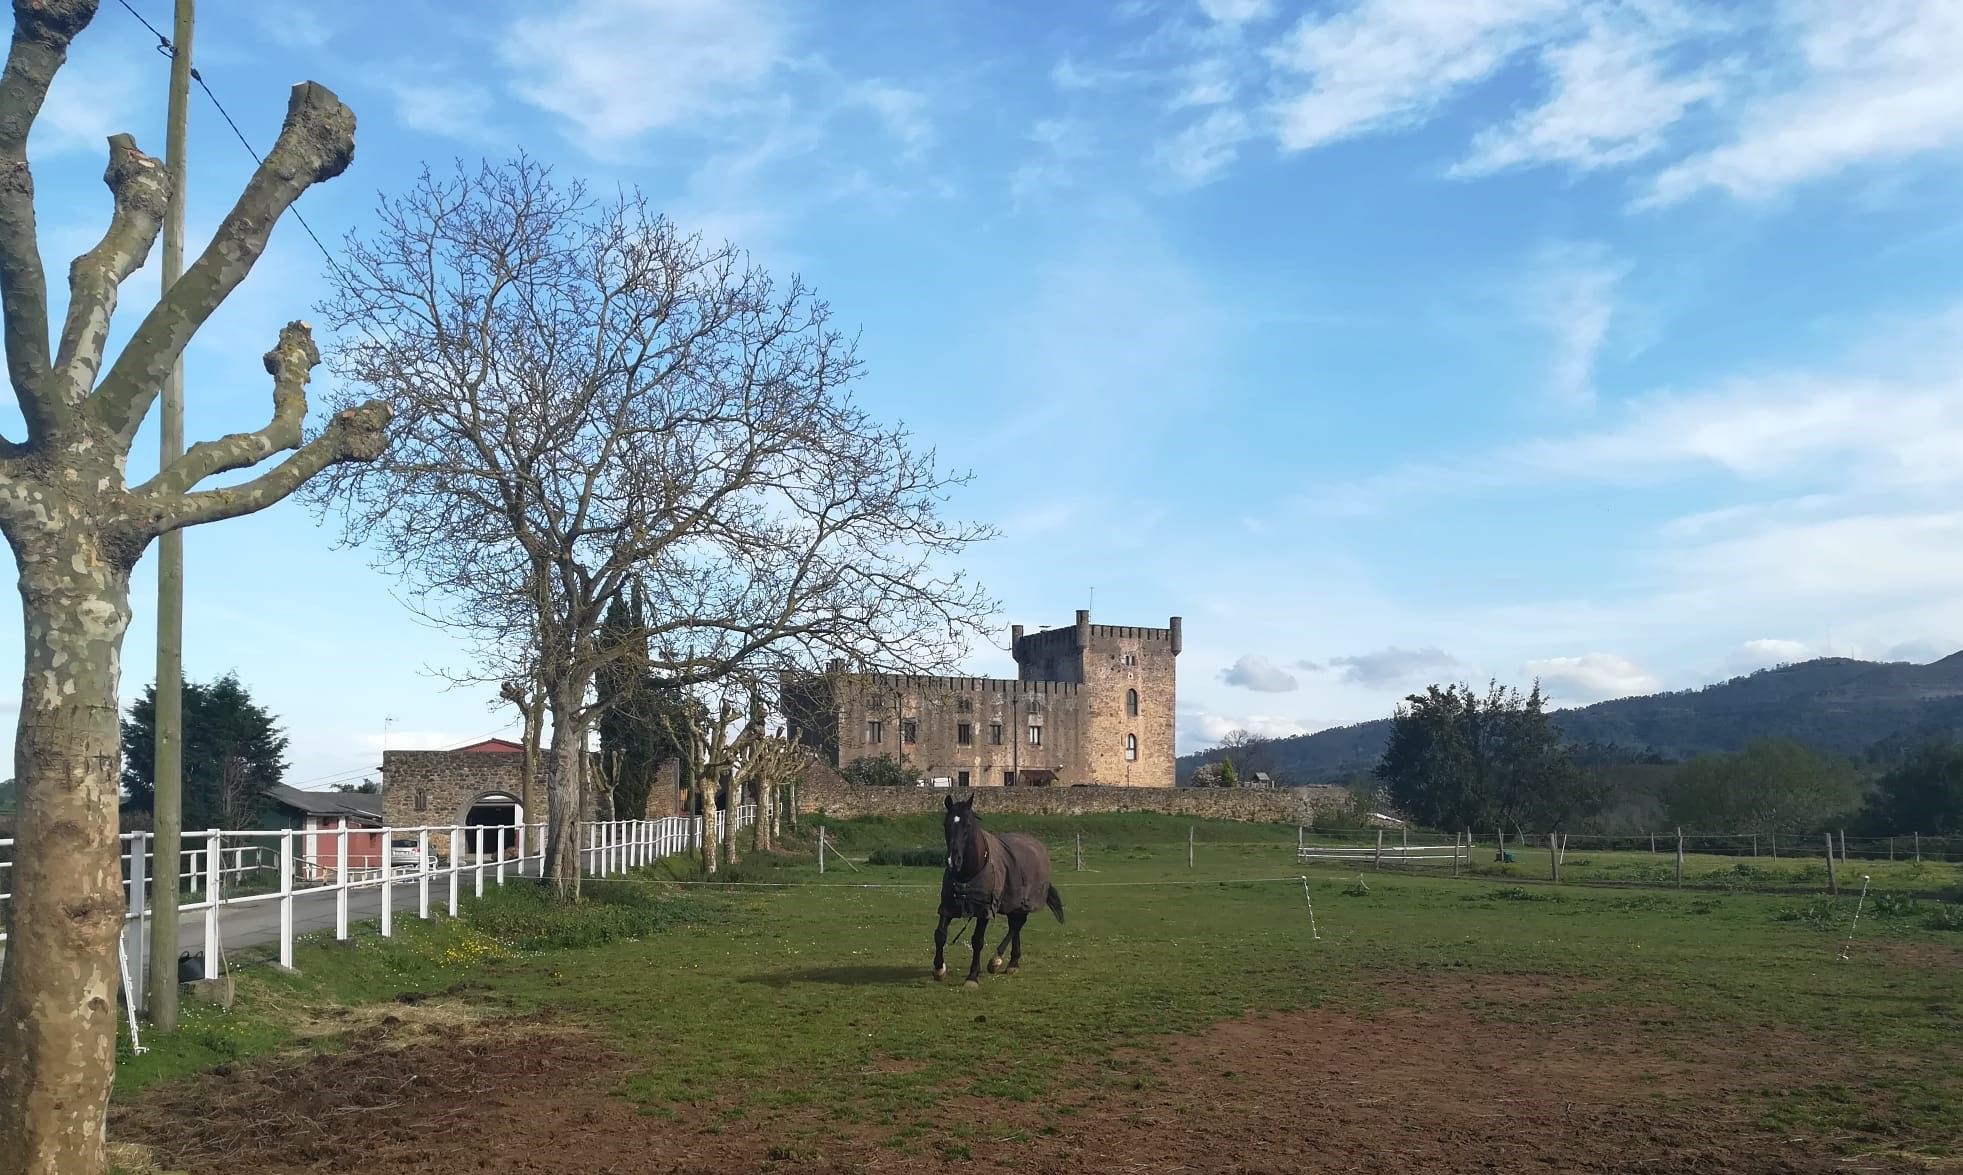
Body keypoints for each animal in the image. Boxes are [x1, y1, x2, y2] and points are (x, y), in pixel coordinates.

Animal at [930, 796, 1067, 988]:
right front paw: (939, 969)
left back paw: (997, 961)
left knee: (1016, 925)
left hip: (1023, 902)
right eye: (946, 824)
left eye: (968, 825)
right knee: (1015, 925)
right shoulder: (948, 906)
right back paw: (1012, 963)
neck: (969, 873)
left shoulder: (984, 910)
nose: (953, 861)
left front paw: (972, 977)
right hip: (1013, 903)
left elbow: (977, 941)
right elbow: (940, 934)